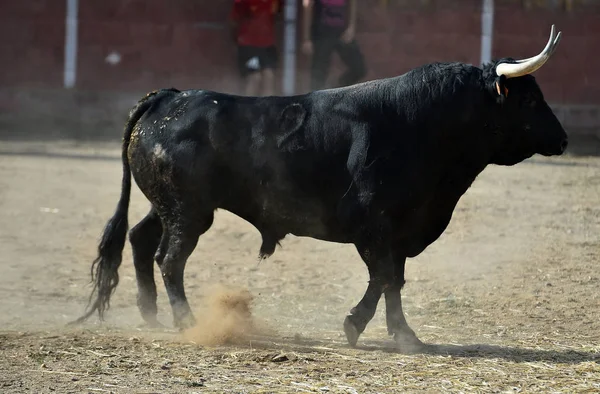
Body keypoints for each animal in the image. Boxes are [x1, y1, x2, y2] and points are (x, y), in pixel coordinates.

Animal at [71, 53, 568, 350]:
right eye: (529, 100)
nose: (563, 139)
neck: (422, 125)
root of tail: (169, 98)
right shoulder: (375, 225)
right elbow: (385, 277)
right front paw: (364, 327)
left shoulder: (399, 231)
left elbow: (393, 281)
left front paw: (399, 334)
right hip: (190, 212)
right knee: (169, 259)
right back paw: (186, 322)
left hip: (171, 207)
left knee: (140, 240)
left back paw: (151, 315)